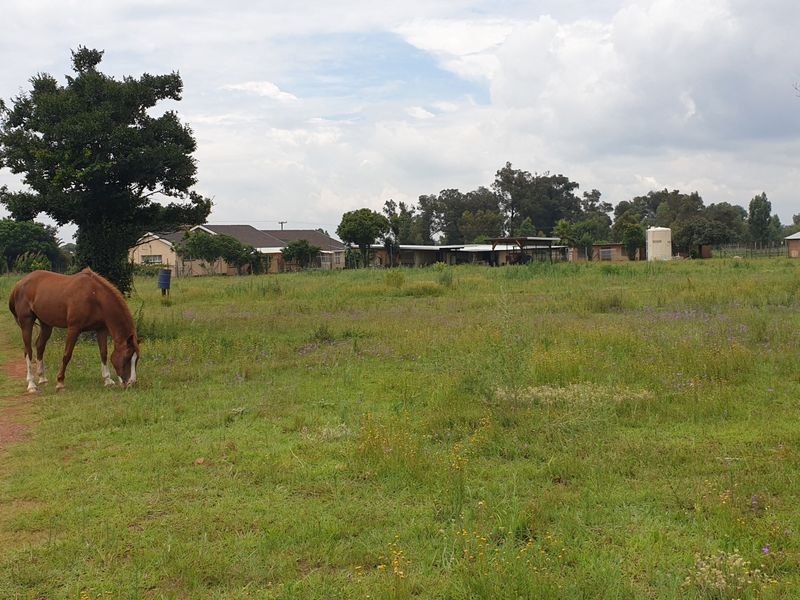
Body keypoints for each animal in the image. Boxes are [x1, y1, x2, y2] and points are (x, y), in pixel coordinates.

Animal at [8, 268, 140, 393]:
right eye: (127, 357)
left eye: (136, 359)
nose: (131, 383)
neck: (95, 297)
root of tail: (19, 284)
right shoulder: (74, 328)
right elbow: (67, 354)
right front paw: (60, 382)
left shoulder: (101, 329)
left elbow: (104, 353)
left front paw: (107, 380)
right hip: (26, 322)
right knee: (28, 351)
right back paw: (31, 385)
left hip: (46, 324)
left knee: (40, 346)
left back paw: (42, 379)